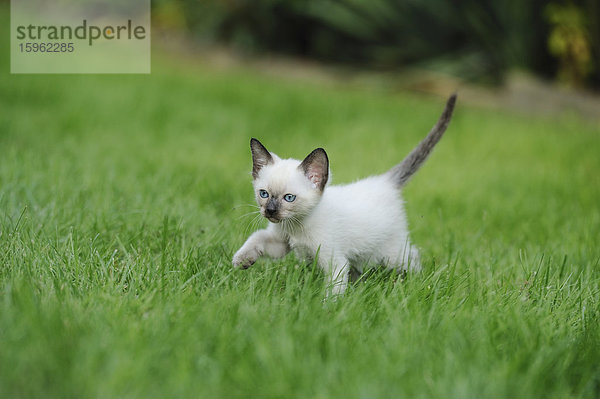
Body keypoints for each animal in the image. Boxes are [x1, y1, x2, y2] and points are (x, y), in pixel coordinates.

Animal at [232, 94, 458, 296]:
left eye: (289, 198)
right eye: (263, 194)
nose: (270, 211)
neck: (296, 226)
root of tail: (384, 181)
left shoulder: (335, 263)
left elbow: (333, 291)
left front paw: (325, 310)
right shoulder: (280, 242)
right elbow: (257, 237)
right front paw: (241, 260)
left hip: (391, 253)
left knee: (413, 256)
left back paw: (420, 282)